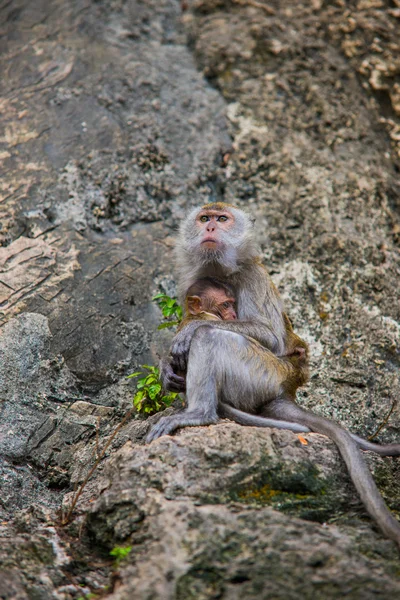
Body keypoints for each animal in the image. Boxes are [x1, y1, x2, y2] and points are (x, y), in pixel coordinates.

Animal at [148, 204, 400, 548]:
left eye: (222, 219)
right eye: (204, 218)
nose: (211, 227)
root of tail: (286, 388)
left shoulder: (251, 276)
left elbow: (268, 336)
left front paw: (189, 331)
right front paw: (167, 370)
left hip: (261, 372)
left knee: (211, 338)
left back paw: (199, 412)